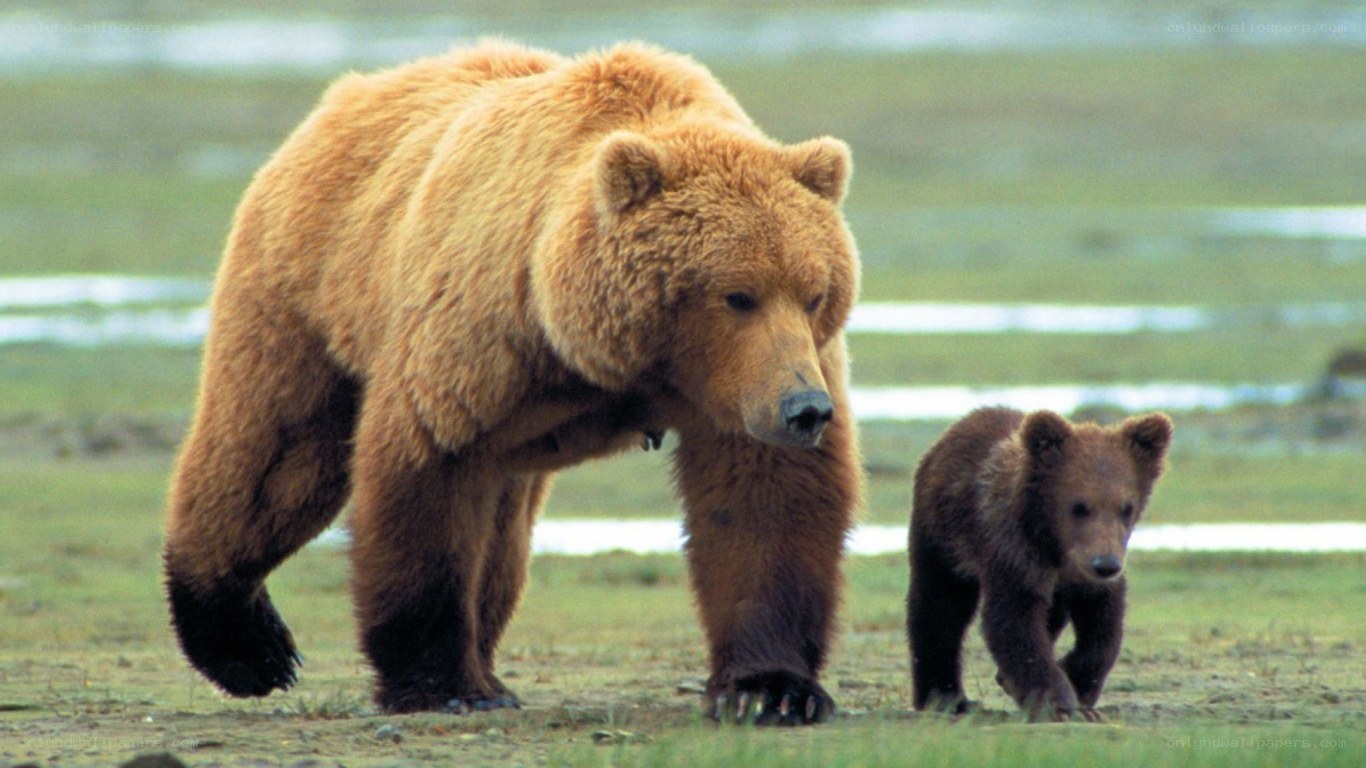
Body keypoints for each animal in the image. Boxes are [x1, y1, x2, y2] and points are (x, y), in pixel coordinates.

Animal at [162, 40, 862, 725]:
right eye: (737, 295)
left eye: (813, 292)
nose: (805, 408)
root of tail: (349, 93)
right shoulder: (483, 337)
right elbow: (427, 478)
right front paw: (443, 685)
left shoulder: (745, 385)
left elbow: (763, 502)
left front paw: (770, 689)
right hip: (308, 291)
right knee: (274, 459)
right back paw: (247, 646)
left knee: (499, 535)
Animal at [906, 407, 1171, 722]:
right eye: (1079, 506)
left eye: (1126, 507)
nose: (1105, 564)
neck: (1055, 545)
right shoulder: (1015, 552)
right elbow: (1014, 621)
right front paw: (1058, 704)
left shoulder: (1092, 573)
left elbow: (1104, 626)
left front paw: (1079, 687)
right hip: (944, 536)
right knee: (939, 606)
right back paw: (944, 697)